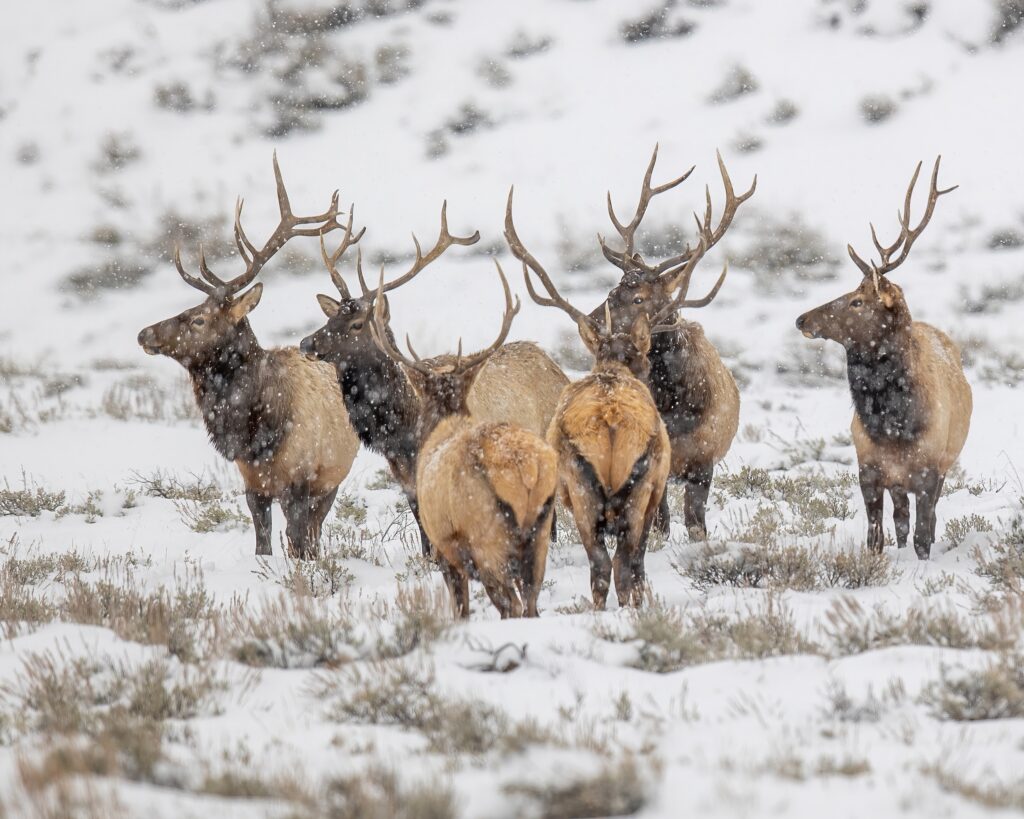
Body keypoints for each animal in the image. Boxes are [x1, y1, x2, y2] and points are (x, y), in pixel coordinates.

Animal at [137, 154, 360, 559]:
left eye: (199, 318)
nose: (144, 333)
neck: (255, 433)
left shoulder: (299, 480)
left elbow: (297, 542)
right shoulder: (253, 483)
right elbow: (263, 544)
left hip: (332, 478)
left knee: (314, 534)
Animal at [299, 203, 568, 557]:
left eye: (357, 324)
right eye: (330, 317)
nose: (306, 343)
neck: (401, 430)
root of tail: (555, 365)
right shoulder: (405, 477)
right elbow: (425, 535)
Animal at [368, 262, 558, 619]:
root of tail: (522, 473)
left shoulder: (445, 546)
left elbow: (460, 608)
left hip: (488, 541)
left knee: (511, 604)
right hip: (538, 536)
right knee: (531, 603)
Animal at [506, 146, 754, 542]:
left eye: (638, 298)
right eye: (611, 291)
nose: (591, 323)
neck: (679, 408)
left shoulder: (704, 460)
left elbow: (696, 525)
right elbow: (661, 526)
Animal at [796, 157, 971, 560]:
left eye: (858, 301)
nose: (802, 319)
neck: (893, 425)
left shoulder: (929, 470)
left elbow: (924, 535)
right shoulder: (869, 470)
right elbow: (876, 538)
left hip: (944, 465)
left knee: (925, 523)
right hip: (898, 482)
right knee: (901, 520)